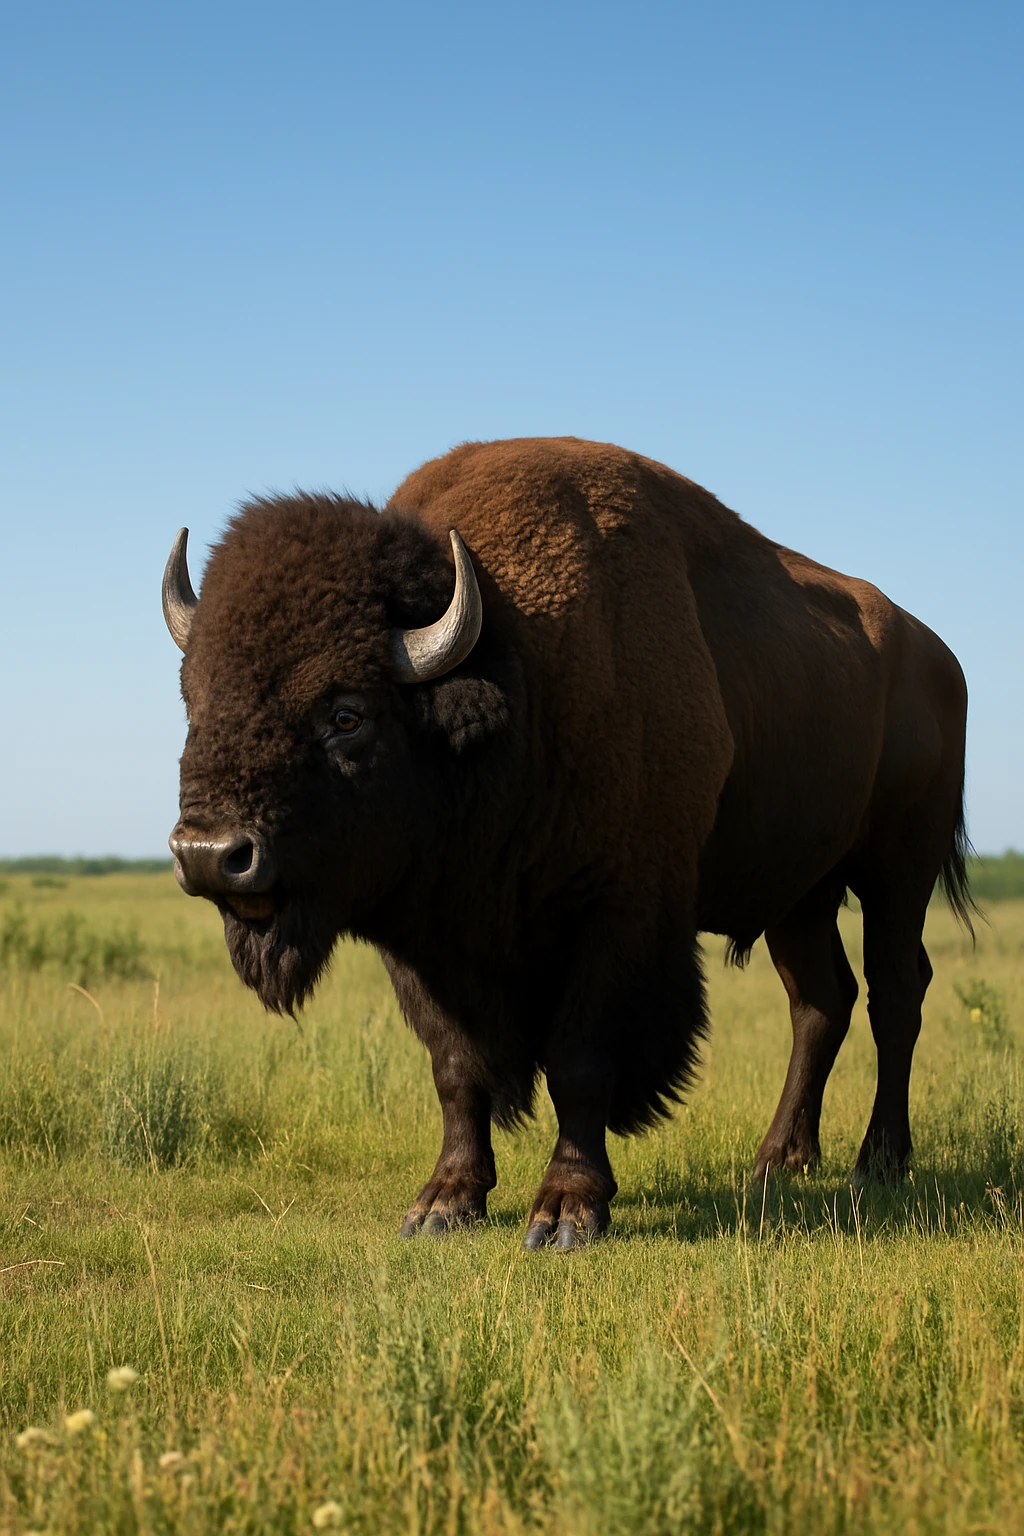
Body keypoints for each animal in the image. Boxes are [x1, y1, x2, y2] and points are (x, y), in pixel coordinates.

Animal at [164, 437, 971, 1249]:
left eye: (347, 715)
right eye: (193, 700)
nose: (211, 856)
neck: (517, 670)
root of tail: (939, 657)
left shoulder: (619, 917)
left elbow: (579, 1060)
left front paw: (565, 1213)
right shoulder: (420, 939)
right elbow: (455, 1066)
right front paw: (443, 1203)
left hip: (898, 869)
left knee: (895, 993)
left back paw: (878, 1162)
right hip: (801, 895)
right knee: (819, 1002)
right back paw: (779, 1160)